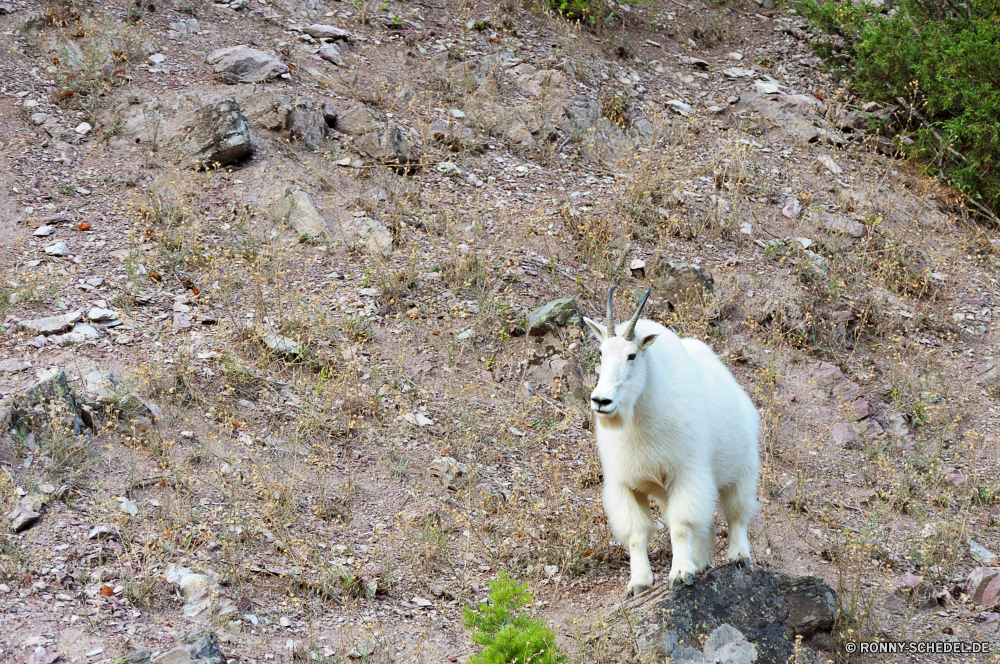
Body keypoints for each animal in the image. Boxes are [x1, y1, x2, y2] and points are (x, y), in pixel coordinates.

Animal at [584, 286, 756, 596]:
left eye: (632, 355)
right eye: (601, 352)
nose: (601, 401)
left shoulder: (686, 475)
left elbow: (681, 526)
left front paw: (679, 574)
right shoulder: (625, 485)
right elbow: (637, 534)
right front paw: (639, 583)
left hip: (743, 468)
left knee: (737, 513)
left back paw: (738, 557)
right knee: (708, 523)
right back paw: (700, 562)